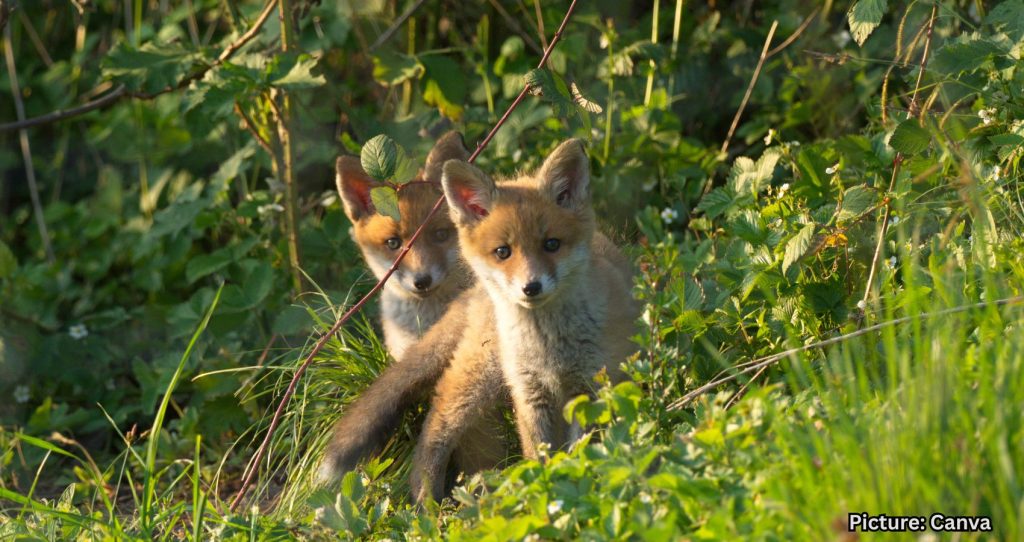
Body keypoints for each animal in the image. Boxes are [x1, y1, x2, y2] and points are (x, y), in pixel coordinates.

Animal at [406, 139, 640, 503]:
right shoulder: (530, 391)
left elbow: (577, 453)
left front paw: (570, 486)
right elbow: (537, 455)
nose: (531, 287)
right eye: (503, 252)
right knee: (437, 424)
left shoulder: (588, 388)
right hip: (480, 378)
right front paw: (542, 493)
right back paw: (425, 501)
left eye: (551, 244)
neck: (549, 347)